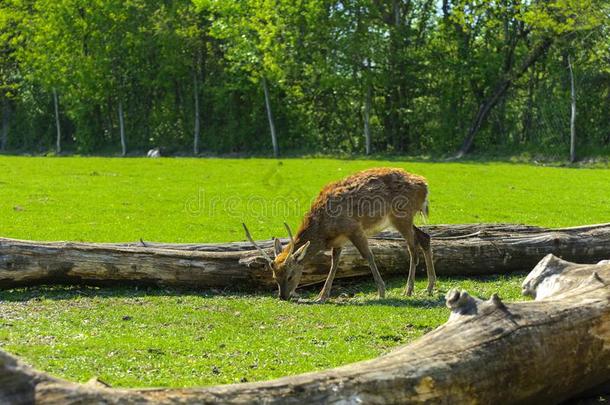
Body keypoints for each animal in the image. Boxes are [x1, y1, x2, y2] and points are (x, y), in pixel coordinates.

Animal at [240, 166, 434, 302]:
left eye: (290, 275)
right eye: (274, 277)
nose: (283, 296)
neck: (324, 230)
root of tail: (425, 185)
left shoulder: (353, 228)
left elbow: (368, 256)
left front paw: (381, 292)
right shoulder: (339, 241)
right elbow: (334, 264)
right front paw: (321, 296)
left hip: (402, 216)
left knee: (412, 248)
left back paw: (409, 289)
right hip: (404, 220)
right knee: (425, 237)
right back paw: (429, 287)